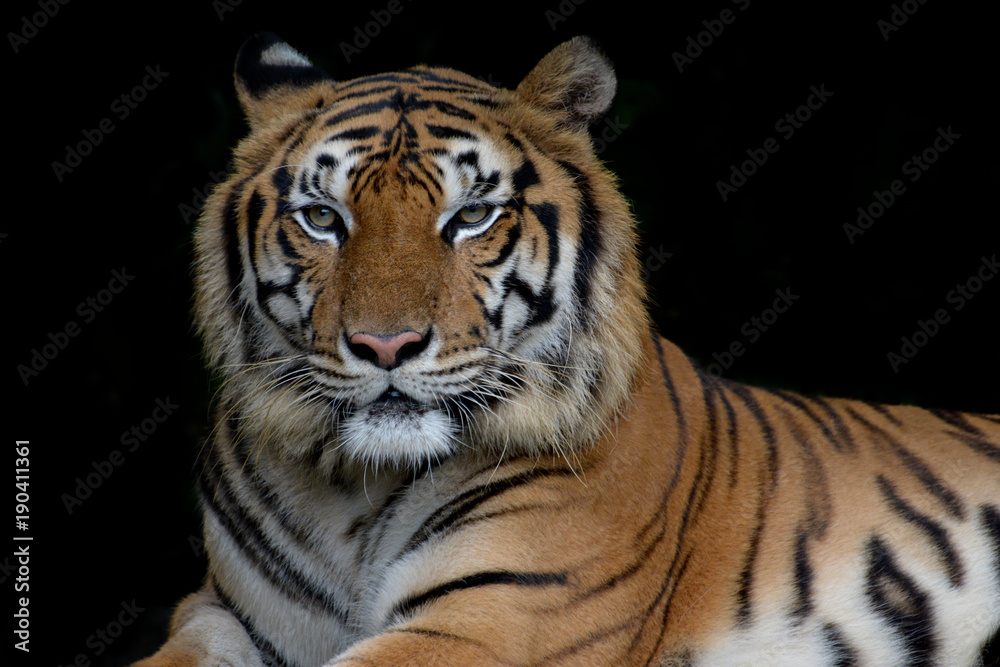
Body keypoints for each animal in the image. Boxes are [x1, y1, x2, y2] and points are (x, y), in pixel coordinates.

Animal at [134, 32, 1000, 666]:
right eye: (322, 218)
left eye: (471, 217)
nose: (387, 344)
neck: (351, 490)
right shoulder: (219, 611)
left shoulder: (494, 614)